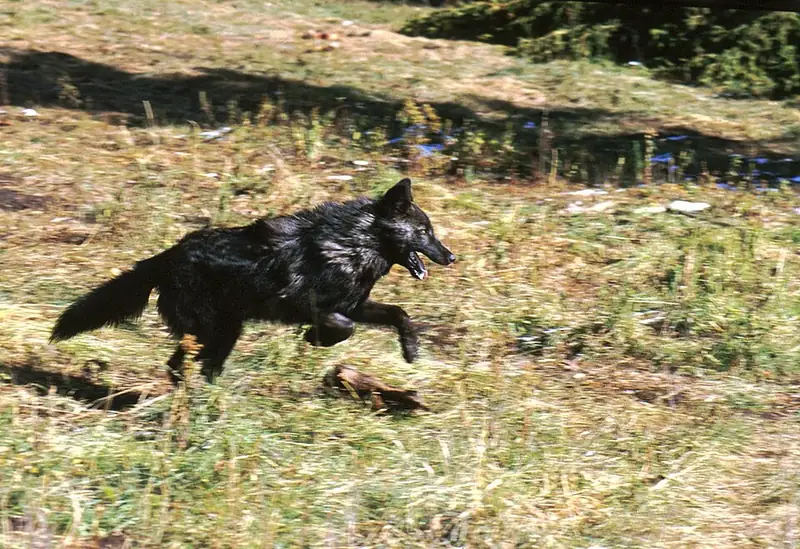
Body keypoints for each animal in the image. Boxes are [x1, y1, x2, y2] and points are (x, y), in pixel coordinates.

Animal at [51, 178, 455, 383]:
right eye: (425, 231)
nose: (451, 257)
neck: (352, 244)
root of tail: (166, 256)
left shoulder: (356, 304)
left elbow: (399, 314)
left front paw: (411, 350)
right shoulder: (309, 306)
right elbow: (345, 327)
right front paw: (315, 339)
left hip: (225, 332)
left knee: (190, 365)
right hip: (217, 330)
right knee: (183, 364)